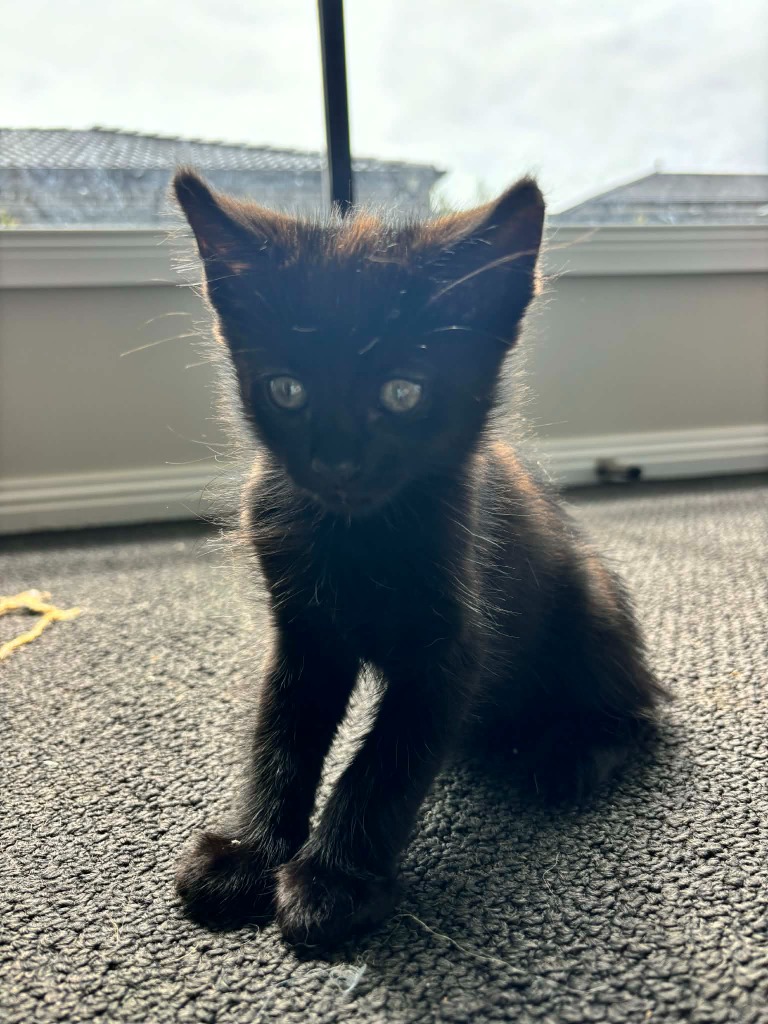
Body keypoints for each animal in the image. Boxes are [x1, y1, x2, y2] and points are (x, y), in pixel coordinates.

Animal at [172, 169, 666, 949]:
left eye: (402, 392)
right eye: (288, 389)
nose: (336, 461)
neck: (355, 534)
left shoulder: (452, 647)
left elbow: (384, 762)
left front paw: (332, 880)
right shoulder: (303, 637)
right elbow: (280, 736)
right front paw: (252, 853)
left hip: (591, 598)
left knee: (638, 709)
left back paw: (571, 754)